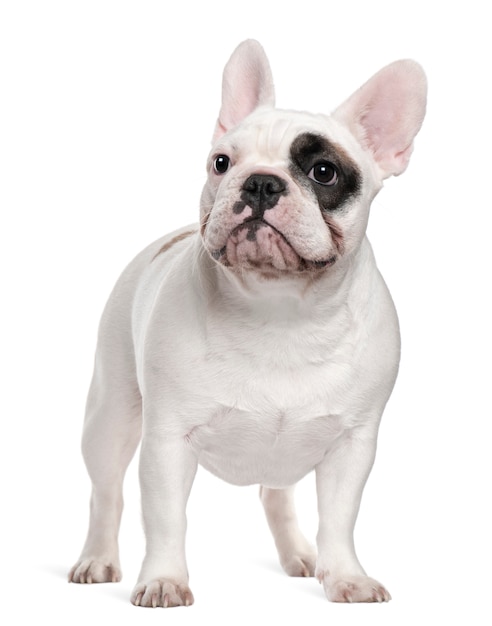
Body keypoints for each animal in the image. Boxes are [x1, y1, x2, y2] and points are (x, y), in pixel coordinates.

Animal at [69, 39, 426, 604]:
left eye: (324, 172)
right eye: (221, 162)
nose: (260, 181)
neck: (280, 309)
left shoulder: (353, 445)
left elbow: (339, 518)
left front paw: (346, 576)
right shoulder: (167, 440)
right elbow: (165, 517)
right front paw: (164, 580)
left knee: (274, 495)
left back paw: (301, 555)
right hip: (110, 416)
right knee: (106, 494)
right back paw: (98, 559)